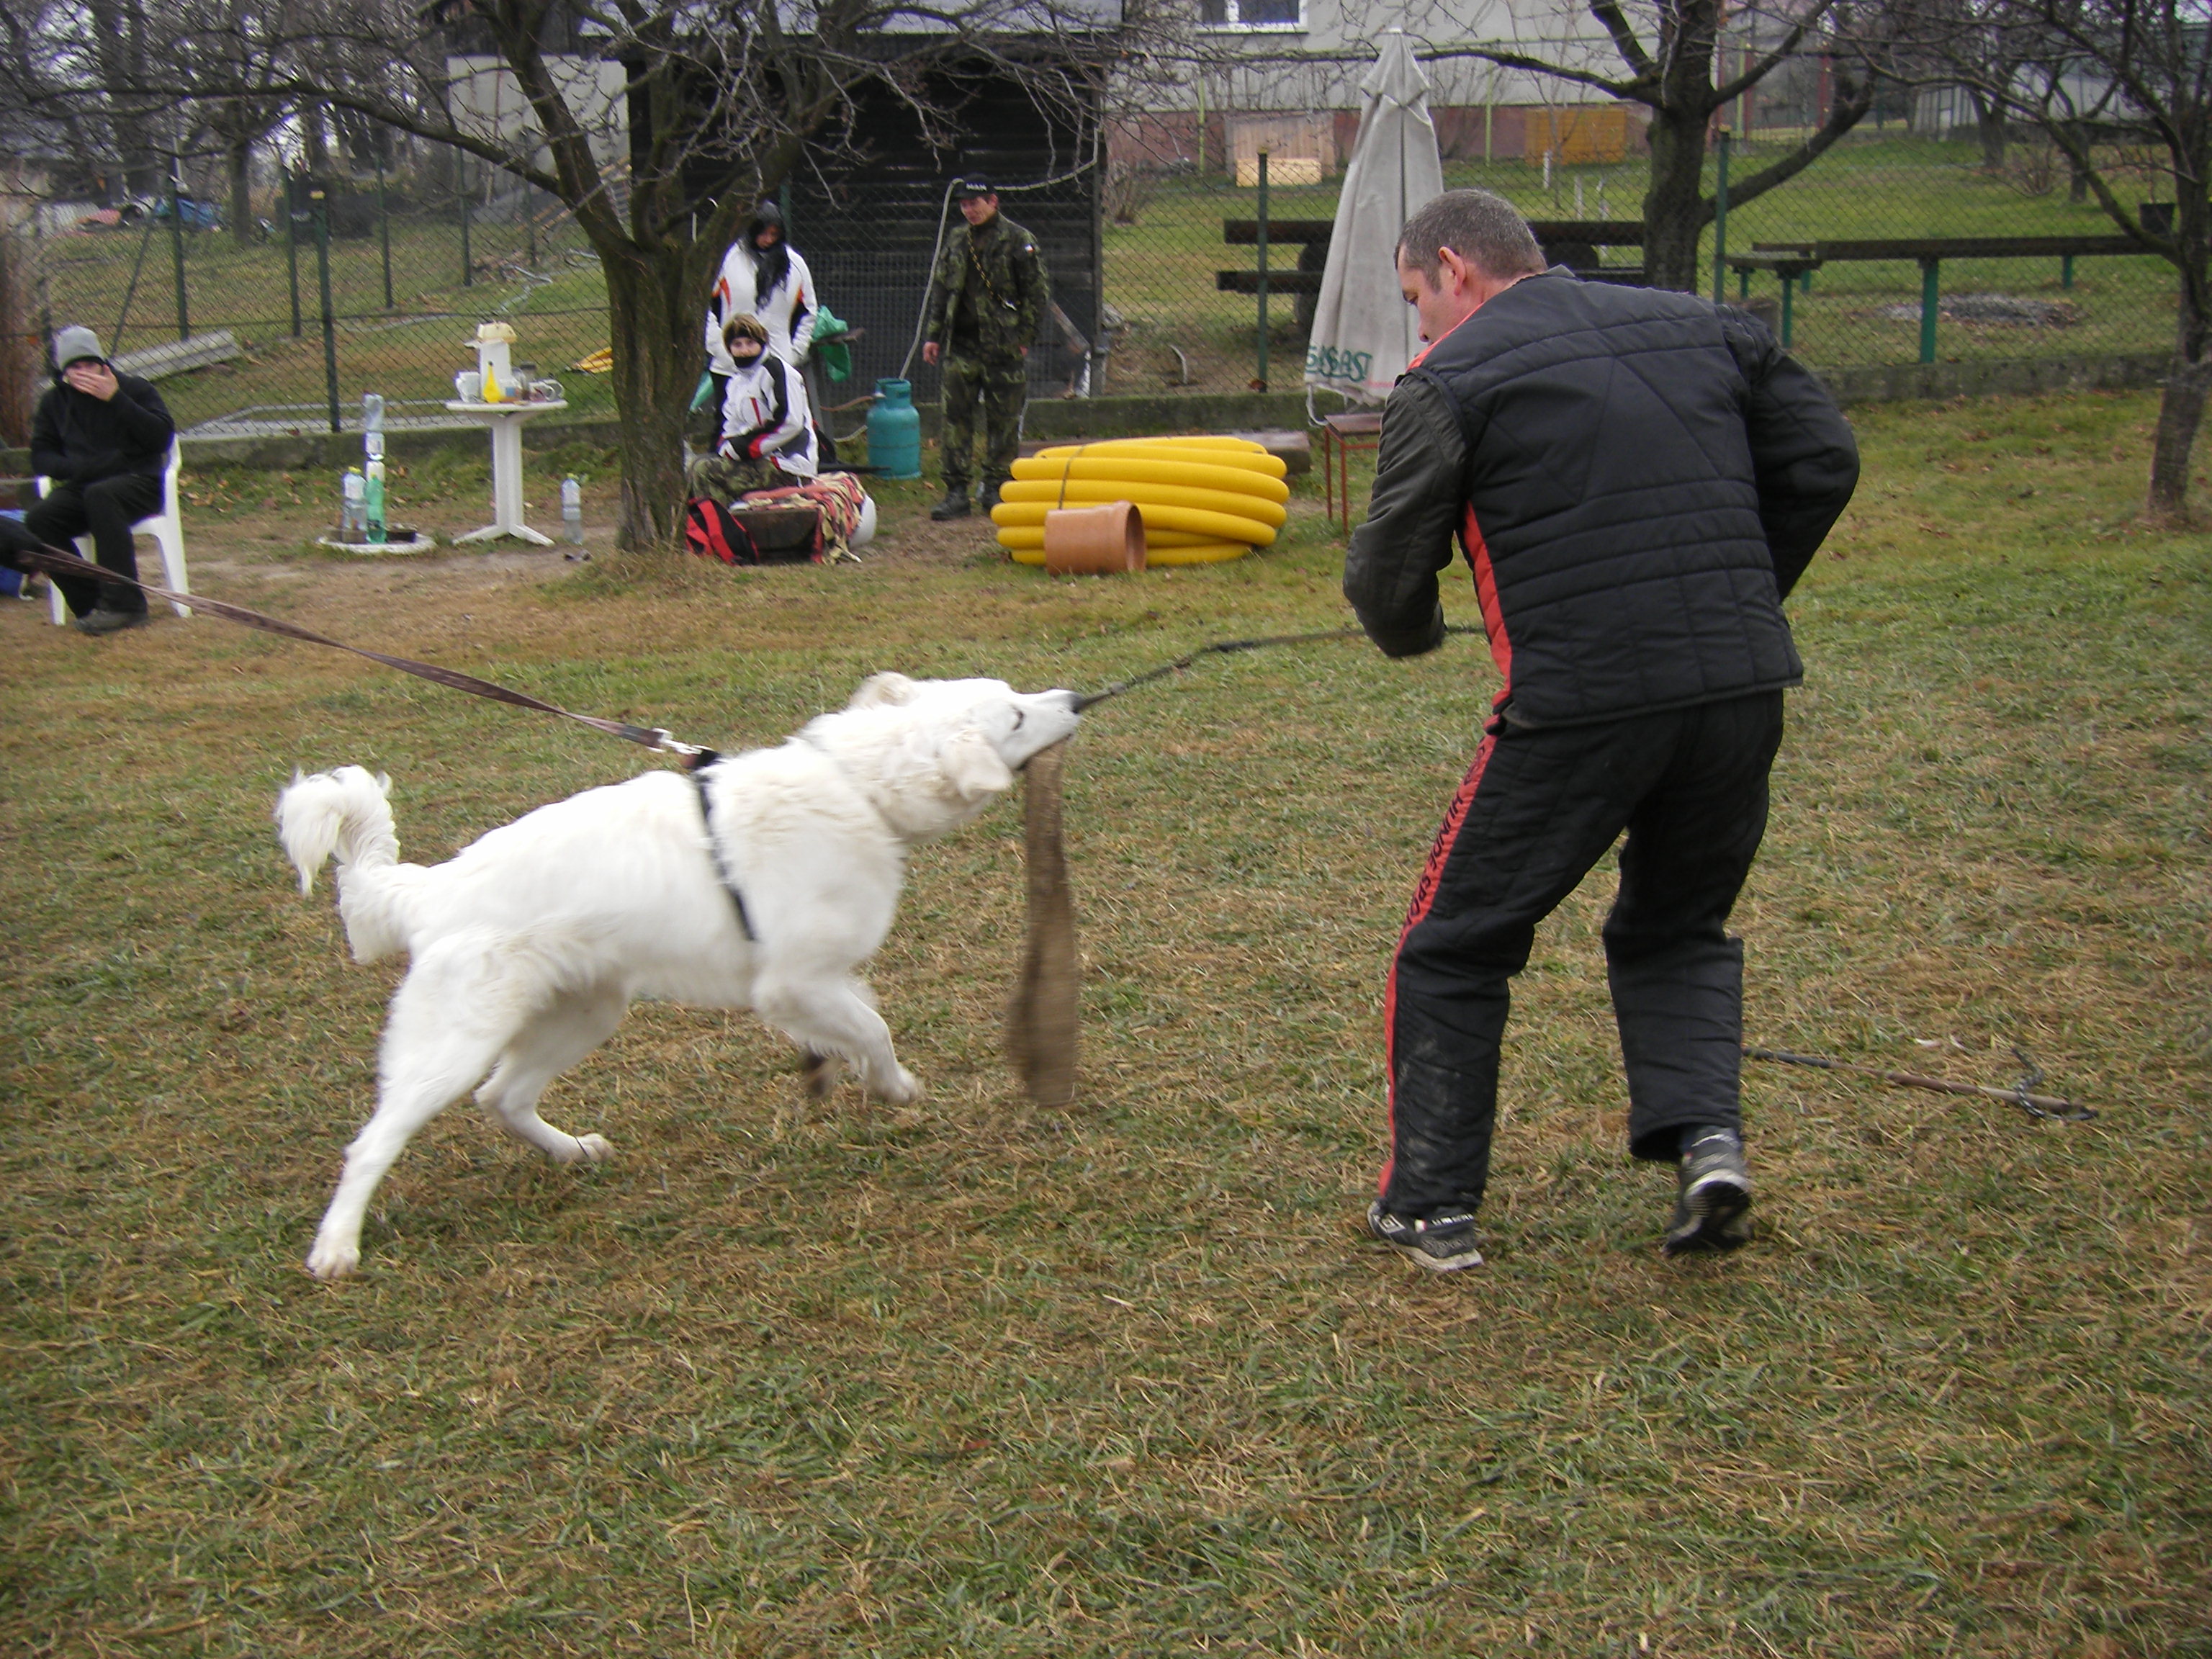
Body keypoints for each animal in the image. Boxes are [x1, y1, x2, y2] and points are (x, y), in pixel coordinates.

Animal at [281, 677, 1074, 1282]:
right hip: (454, 1046)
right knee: (374, 1143)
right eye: (1014, 716)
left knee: (502, 1097)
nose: (1073, 698)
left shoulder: (817, 980)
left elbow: (857, 1019)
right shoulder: (789, 980)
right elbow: (874, 1029)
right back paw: (337, 1247)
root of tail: (427, 890)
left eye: (1016, 695)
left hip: (585, 1014)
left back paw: (571, 1152)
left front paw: (843, 1072)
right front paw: (893, 1086)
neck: (859, 788)